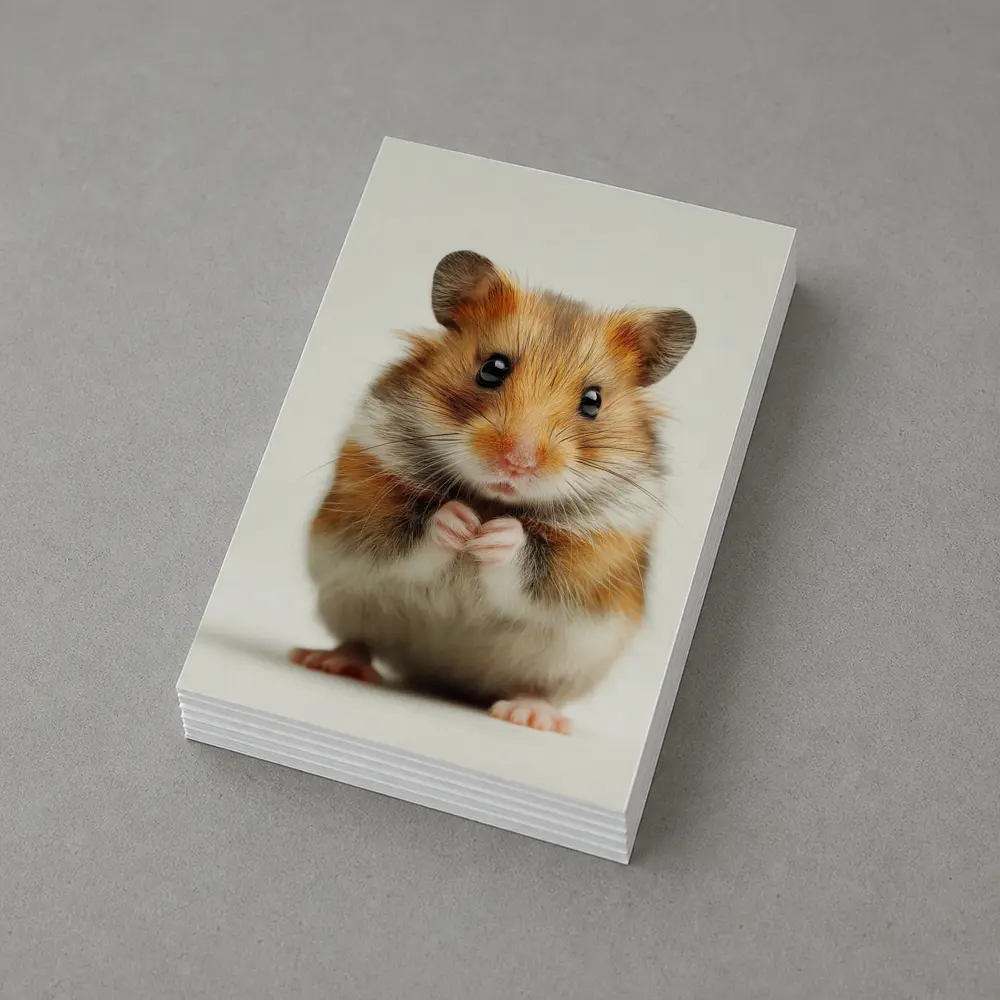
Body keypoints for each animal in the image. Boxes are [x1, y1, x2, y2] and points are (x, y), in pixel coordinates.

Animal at [290, 250, 696, 735]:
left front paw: (494, 535)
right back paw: (327, 661)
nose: (516, 463)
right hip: (348, 603)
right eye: (493, 368)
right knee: (358, 642)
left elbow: (530, 562)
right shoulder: (363, 509)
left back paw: (531, 716)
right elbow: (409, 532)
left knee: (536, 686)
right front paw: (460, 522)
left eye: (593, 400)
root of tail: (442, 676)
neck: (492, 500)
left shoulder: (591, 561)